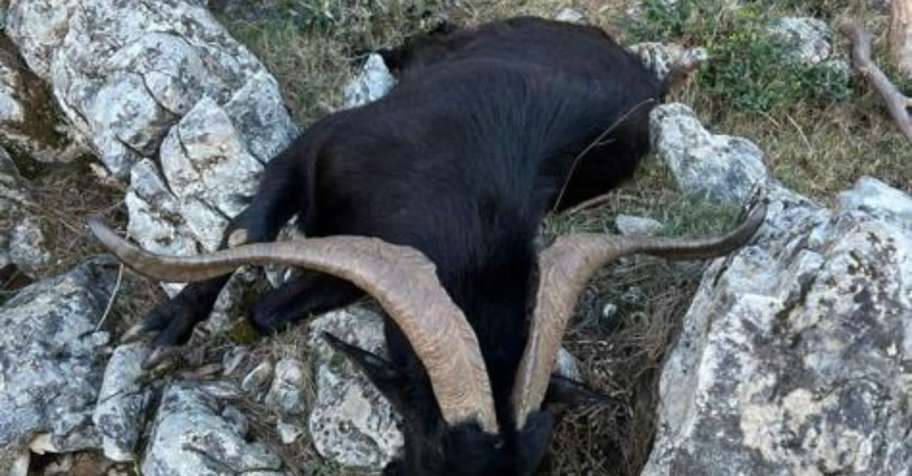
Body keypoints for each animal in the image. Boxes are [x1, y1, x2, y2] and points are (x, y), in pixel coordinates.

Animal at [91, 17, 766, 476]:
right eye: (438, 446)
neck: (455, 194)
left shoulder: (352, 257)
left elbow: (267, 310)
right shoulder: (310, 150)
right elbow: (245, 233)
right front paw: (167, 329)